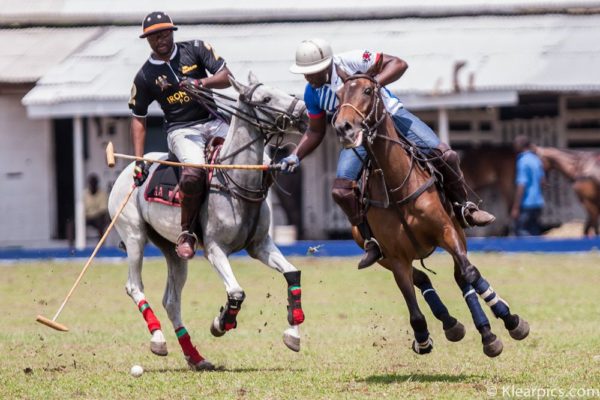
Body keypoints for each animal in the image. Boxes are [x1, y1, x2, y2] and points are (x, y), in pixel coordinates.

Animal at [108, 73, 312, 370]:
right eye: (265, 98)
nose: (305, 113)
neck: (237, 178)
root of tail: (129, 168)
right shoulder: (215, 249)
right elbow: (236, 292)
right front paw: (221, 322)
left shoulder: (260, 245)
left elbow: (292, 273)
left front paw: (293, 333)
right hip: (134, 235)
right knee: (134, 286)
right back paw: (158, 339)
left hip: (173, 250)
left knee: (172, 300)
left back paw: (195, 357)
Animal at [332, 70, 528, 358]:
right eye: (338, 95)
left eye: (368, 91)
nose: (344, 127)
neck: (396, 184)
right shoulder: (396, 257)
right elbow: (413, 309)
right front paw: (423, 339)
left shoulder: (447, 232)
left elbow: (470, 274)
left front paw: (507, 323)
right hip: (380, 257)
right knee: (422, 277)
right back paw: (451, 324)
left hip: (457, 229)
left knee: (462, 275)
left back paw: (493, 327)